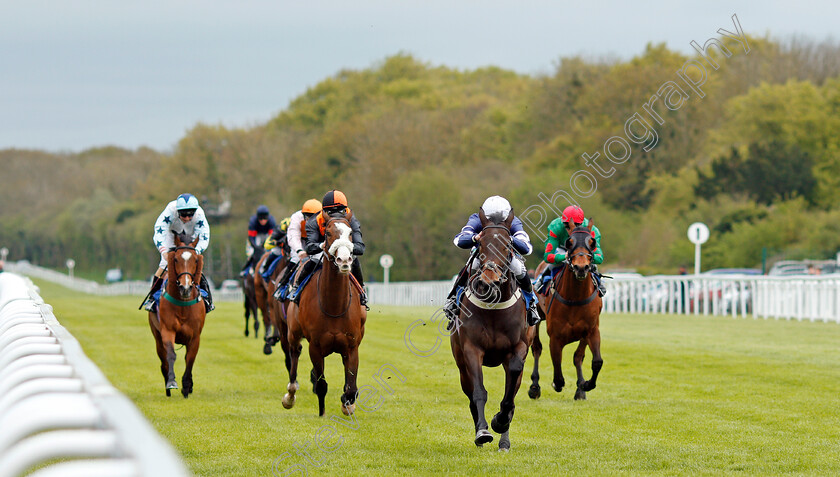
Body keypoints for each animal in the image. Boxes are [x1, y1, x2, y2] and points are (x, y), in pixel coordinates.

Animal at [148, 232, 208, 396]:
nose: (185, 287)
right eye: (175, 259)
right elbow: (171, 355)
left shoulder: (195, 336)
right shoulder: (167, 330)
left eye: (195, 259)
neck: (183, 304)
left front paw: (187, 386)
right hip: (156, 335)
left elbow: (190, 358)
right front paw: (172, 382)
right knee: (163, 360)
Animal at [282, 212, 364, 416]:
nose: (344, 260)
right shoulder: (316, 347)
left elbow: (351, 387)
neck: (334, 306)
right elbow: (321, 385)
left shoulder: (352, 346)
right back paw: (290, 395)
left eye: (351, 233)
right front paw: (322, 414)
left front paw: (347, 404)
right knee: (294, 354)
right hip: (293, 332)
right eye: (327, 233)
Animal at [450, 208, 536, 450]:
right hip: (460, 363)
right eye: (480, 244)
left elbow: (509, 395)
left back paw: (504, 440)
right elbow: (479, 392)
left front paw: (500, 422)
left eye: (507, 245)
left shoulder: (518, 349)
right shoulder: (471, 349)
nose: (489, 279)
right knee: (470, 394)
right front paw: (483, 432)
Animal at [528, 221, 600, 400]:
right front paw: (556, 384)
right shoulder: (555, 337)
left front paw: (584, 385)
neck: (575, 298)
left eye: (592, 242)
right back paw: (534, 387)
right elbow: (558, 373)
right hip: (536, 316)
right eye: (569, 242)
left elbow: (593, 361)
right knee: (537, 348)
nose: (581, 267)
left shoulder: (591, 330)